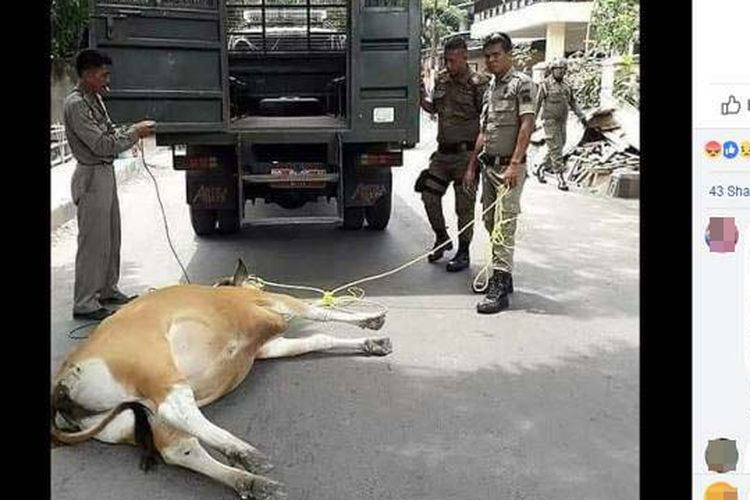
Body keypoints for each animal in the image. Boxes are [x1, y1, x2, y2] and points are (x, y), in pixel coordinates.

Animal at [51, 260, 394, 498]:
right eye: (255, 281)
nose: (257, 283)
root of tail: (63, 380)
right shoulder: (278, 302)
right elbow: (317, 312)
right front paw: (368, 319)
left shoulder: (267, 347)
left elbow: (317, 339)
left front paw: (371, 344)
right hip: (154, 363)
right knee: (178, 410)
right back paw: (244, 453)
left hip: (134, 415)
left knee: (181, 448)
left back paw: (251, 481)